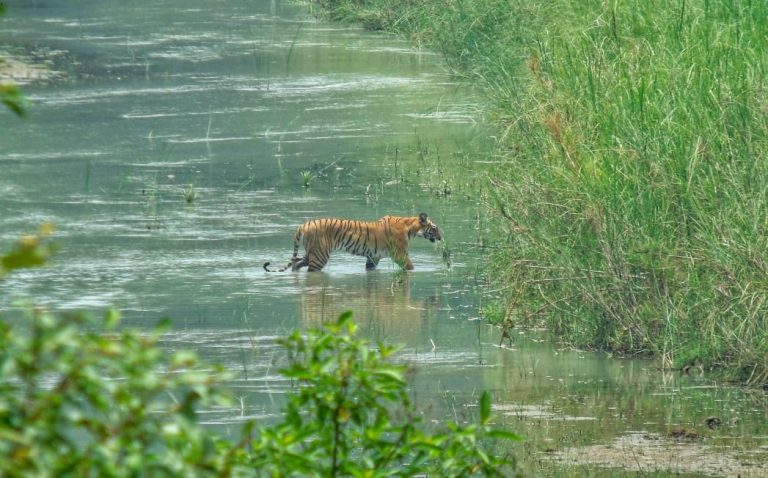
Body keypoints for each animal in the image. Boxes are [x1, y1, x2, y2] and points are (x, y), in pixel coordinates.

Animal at [263, 213, 441, 272]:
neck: (410, 227)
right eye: (435, 228)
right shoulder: (401, 255)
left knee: (296, 264)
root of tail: (303, 225)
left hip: (312, 253)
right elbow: (411, 268)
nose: (441, 237)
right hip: (319, 256)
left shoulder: (373, 257)